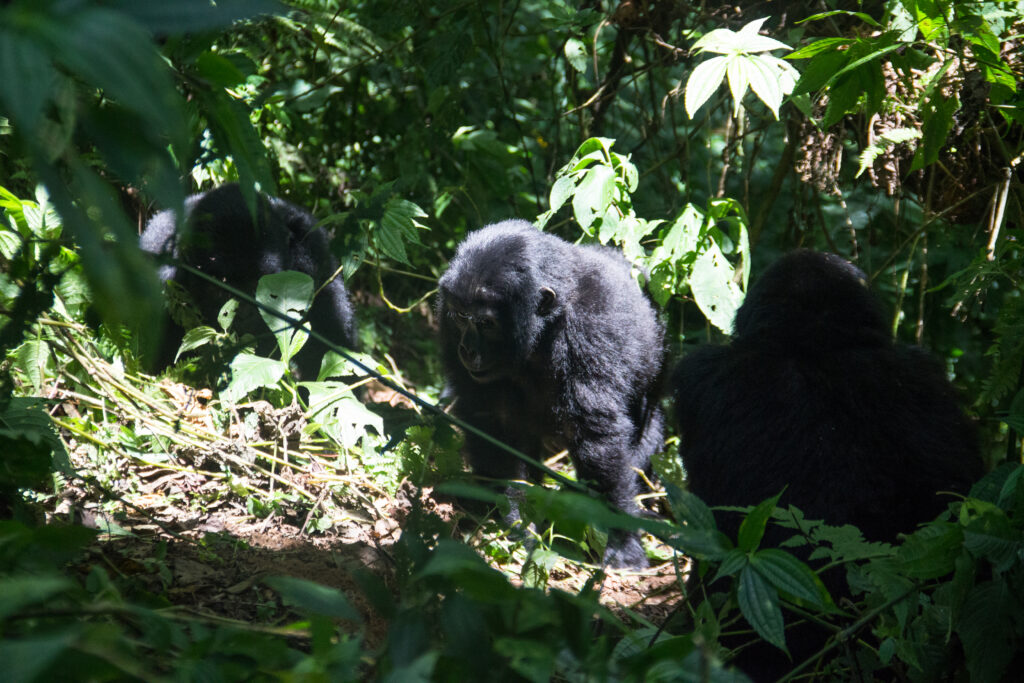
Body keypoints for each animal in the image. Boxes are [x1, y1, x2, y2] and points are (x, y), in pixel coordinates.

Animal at [438, 222, 663, 569]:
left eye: (486, 323)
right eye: (461, 317)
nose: (467, 349)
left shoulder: (591, 328)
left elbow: (597, 439)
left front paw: (622, 539)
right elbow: (489, 421)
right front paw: (513, 517)